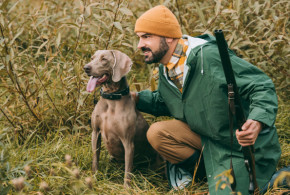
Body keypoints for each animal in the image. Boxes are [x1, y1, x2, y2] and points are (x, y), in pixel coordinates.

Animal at [82, 49, 157, 187]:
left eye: (104, 59)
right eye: (92, 58)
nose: (86, 68)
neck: (111, 99)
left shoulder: (128, 142)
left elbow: (128, 170)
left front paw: (126, 188)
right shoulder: (95, 133)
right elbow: (95, 160)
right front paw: (94, 178)